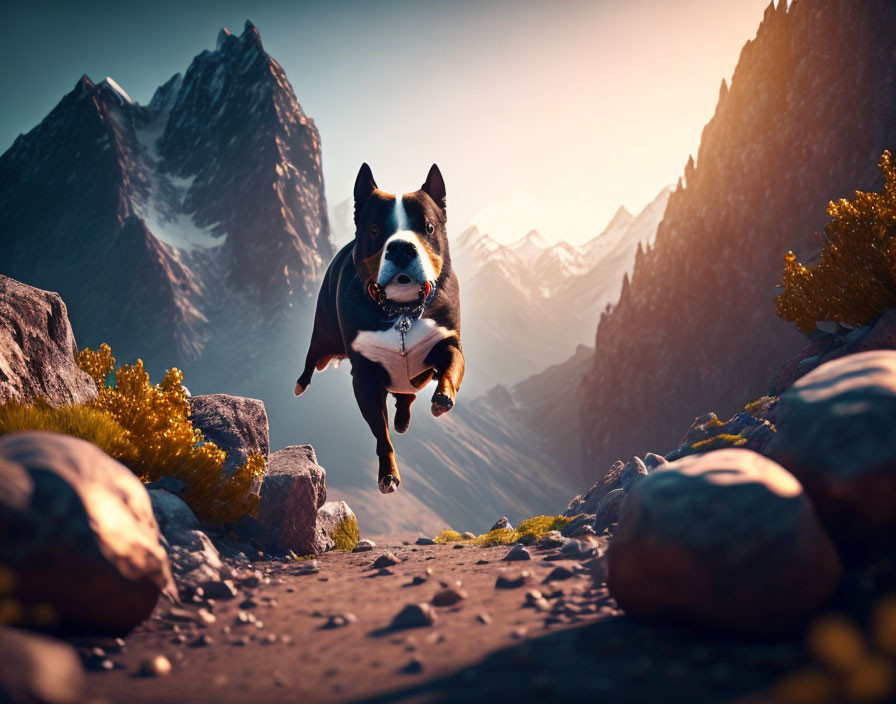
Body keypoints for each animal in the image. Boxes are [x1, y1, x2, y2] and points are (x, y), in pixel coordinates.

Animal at [296, 165, 466, 496]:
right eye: (375, 230)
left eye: (428, 227)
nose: (401, 248)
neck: (401, 311)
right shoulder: (365, 376)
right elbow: (381, 434)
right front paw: (388, 474)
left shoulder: (447, 341)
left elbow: (452, 367)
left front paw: (443, 397)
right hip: (323, 333)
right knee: (312, 356)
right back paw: (301, 383)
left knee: (408, 394)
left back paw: (405, 416)